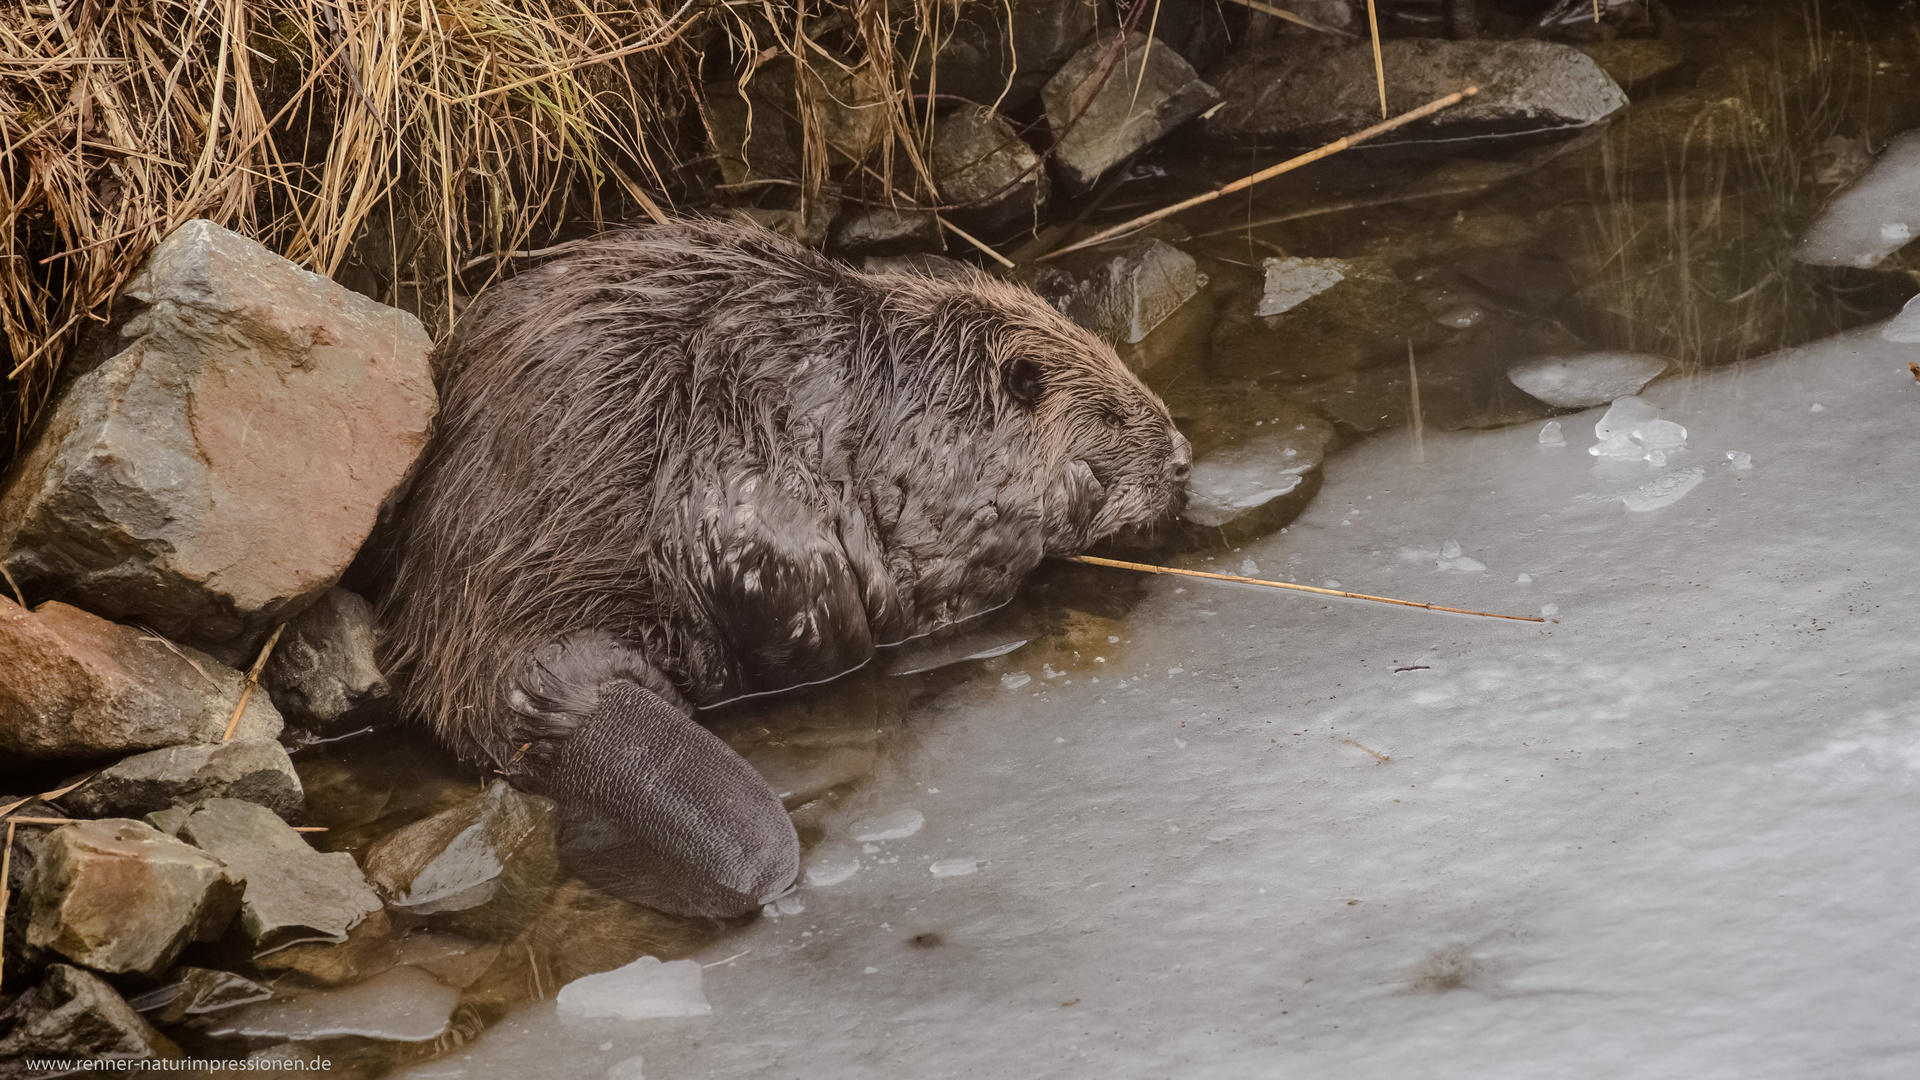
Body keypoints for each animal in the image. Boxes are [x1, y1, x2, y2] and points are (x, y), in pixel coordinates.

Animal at [380, 220, 1190, 914]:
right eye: (1114, 416)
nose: (1183, 459)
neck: (927, 382)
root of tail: (557, 677)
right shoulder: (932, 477)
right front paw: (1080, 491)